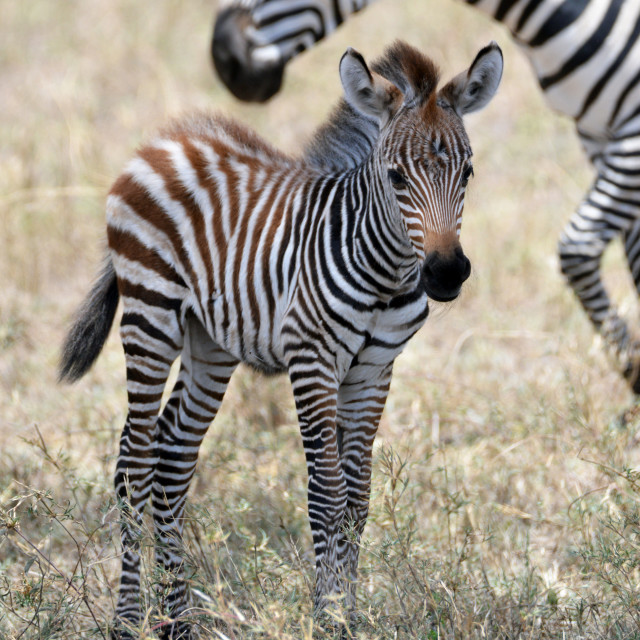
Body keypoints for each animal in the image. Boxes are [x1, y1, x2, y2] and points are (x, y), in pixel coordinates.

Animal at [60, 41, 502, 640]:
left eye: (468, 172)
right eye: (395, 178)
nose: (447, 273)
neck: (385, 272)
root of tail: (164, 140)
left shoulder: (374, 371)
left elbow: (357, 501)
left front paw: (349, 615)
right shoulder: (311, 360)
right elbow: (327, 497)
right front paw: (327, 618)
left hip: (210, 343)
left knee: (172, 459)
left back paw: (178, 620)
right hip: (151, 314)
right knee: (134, 459)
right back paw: (128, 619)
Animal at [214, 0, 640, 392]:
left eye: (469, 173)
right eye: (394, 177)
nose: (225, 58)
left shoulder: (629, 135)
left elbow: (582, 247)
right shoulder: (602, 137)